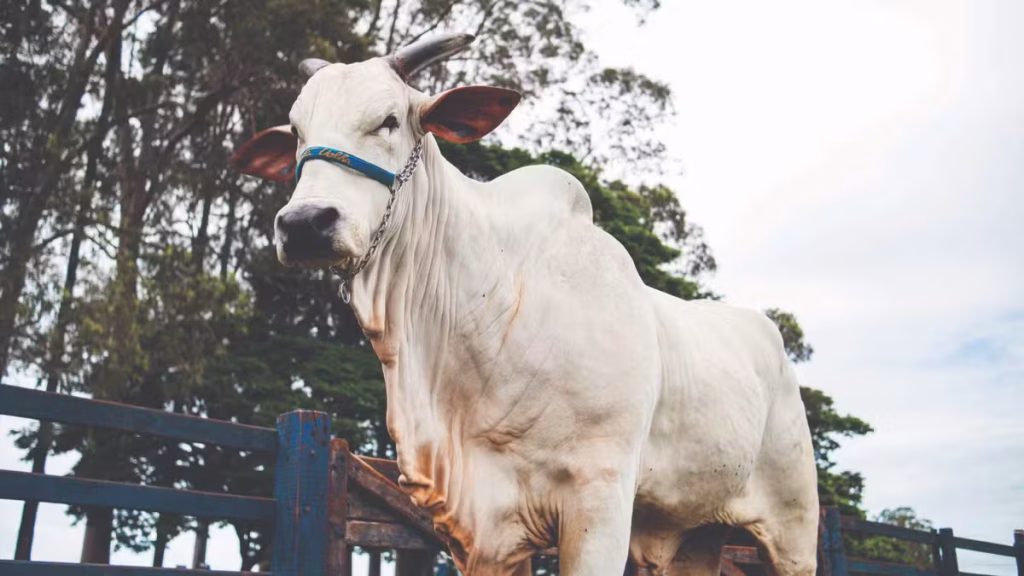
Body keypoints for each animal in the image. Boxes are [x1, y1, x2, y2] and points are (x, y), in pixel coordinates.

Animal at [231, 33, 819, 576]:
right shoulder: (483, 531)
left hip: (795, 529)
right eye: (297, 132)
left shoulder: (600, 496)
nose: (305, 224)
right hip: (698, 530)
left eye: (389, 120)